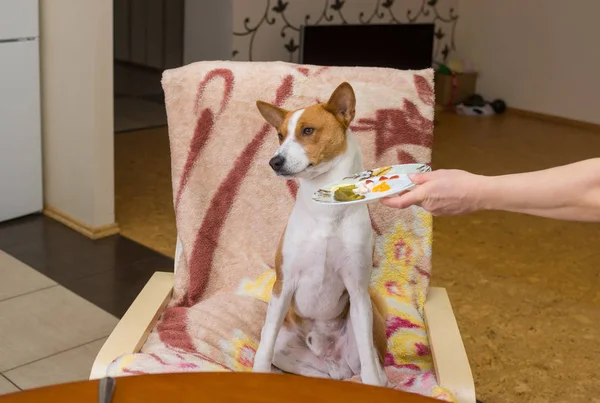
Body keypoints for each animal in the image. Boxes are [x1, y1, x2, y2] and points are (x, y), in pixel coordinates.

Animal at [251, 83, 386, 388]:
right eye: (280, 135)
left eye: (308, 130)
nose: (274, 161)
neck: (325, 208)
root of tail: (333, 359)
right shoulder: (283, 285)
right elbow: (264, 346)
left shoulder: (358, 290)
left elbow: (369, 366)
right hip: (287, 347)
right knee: (313, 369)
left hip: (367, 320)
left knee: (371, 364)